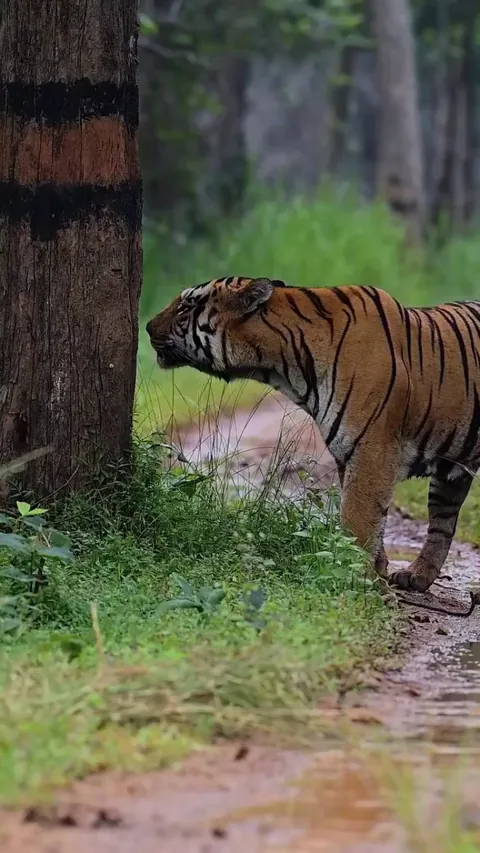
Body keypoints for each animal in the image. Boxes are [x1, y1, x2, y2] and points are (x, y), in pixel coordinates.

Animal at [146, 276, 480, 592]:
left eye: (187, 306)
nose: (148, 327)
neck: (283, 366)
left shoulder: (372, 449)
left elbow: (358, 520)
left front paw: (357, 578)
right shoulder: (349, 453)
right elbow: (370, 522)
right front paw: (375, 571)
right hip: (451, 470)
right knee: (442, 523)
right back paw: (417, 576)